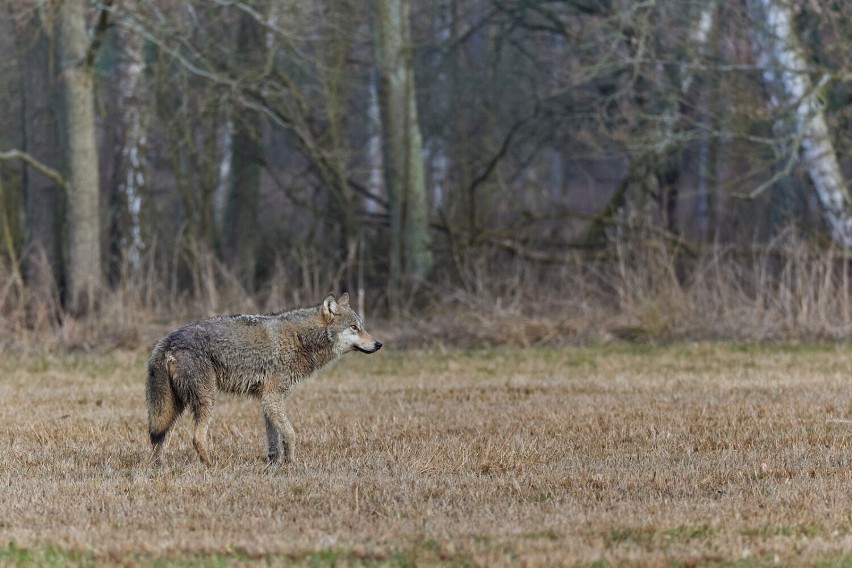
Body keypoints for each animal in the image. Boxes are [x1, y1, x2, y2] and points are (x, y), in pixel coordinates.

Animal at [146, 292, 380, 466]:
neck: (301, 339)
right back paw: (210, 465)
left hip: (174, 407)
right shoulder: (272, 398)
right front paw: (291, 463)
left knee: (159, 438)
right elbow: (290, 434)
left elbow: (274, 438)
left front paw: (274, 463)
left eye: (361, 326)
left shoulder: (266, 400)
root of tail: (167, 340)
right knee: (195, 439)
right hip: (206, 401)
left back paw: (159, 466)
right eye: (354, 328)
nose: (379, 344)